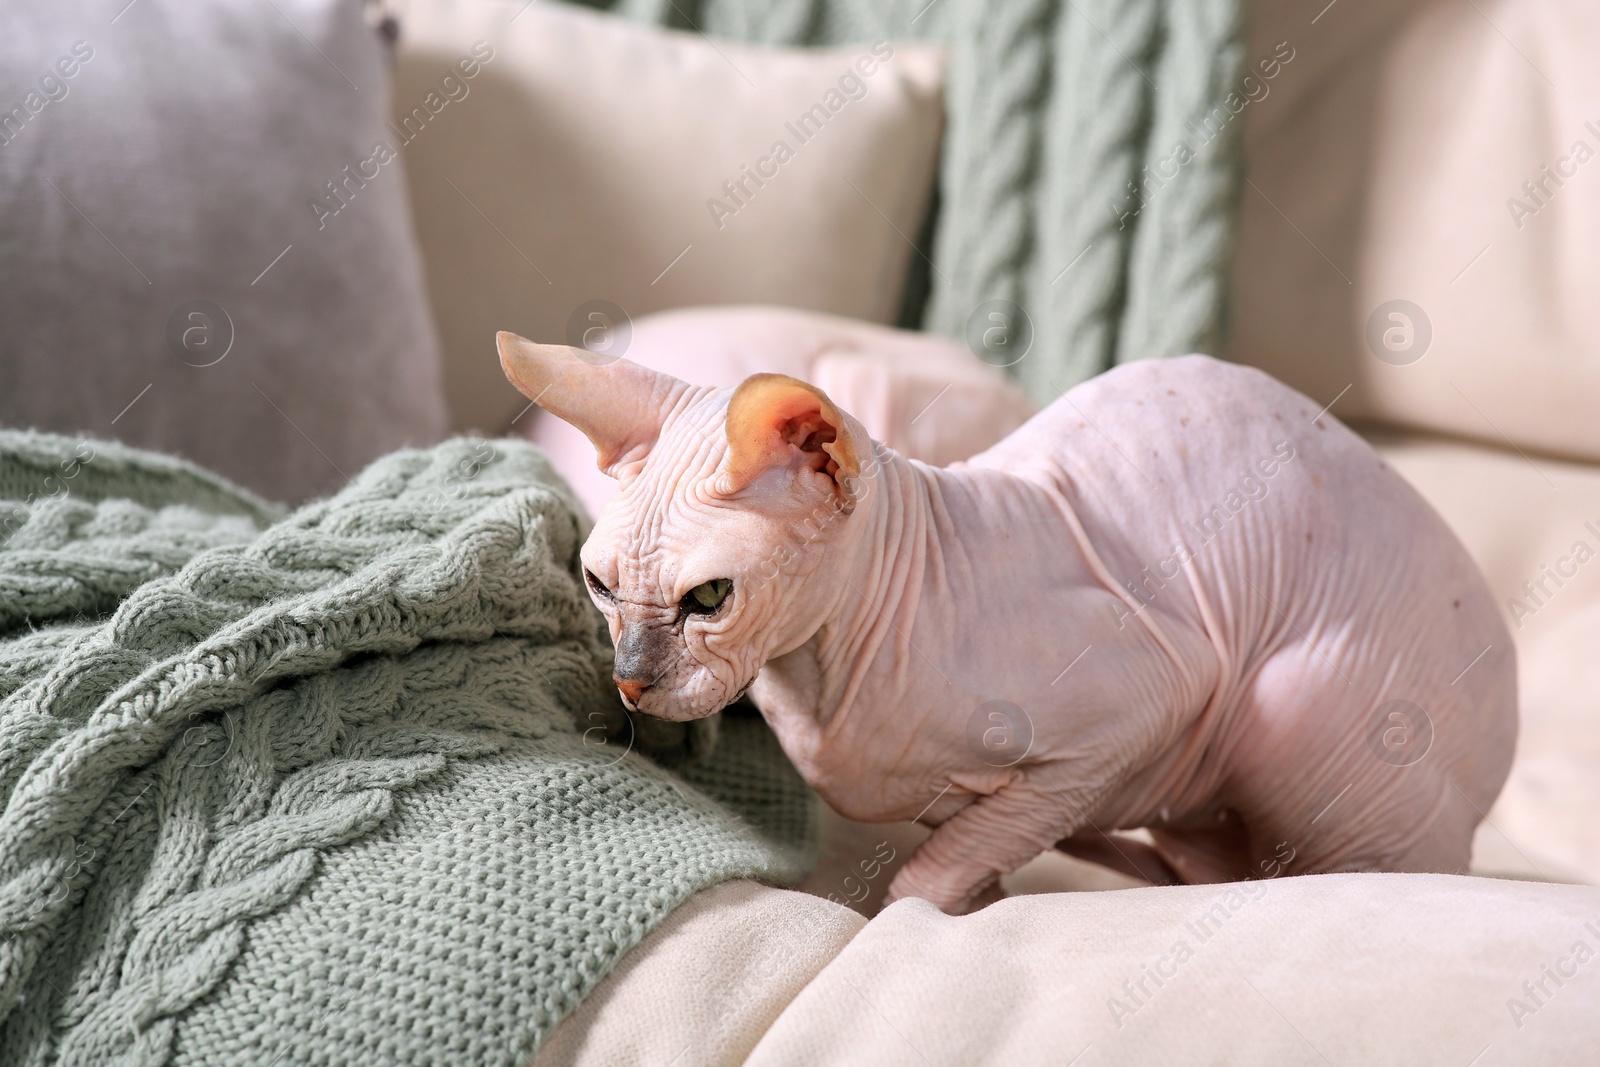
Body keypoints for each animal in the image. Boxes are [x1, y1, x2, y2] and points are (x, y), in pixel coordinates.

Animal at [496, 329, 1510, 915]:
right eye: (596, 581)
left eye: (710, 597)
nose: (630, 680)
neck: (824, 683)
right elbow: (986, 844)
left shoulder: (1152, 696)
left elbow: (929, 878)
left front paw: (928, 910)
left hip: (1284, 706)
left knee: (1336, 872)